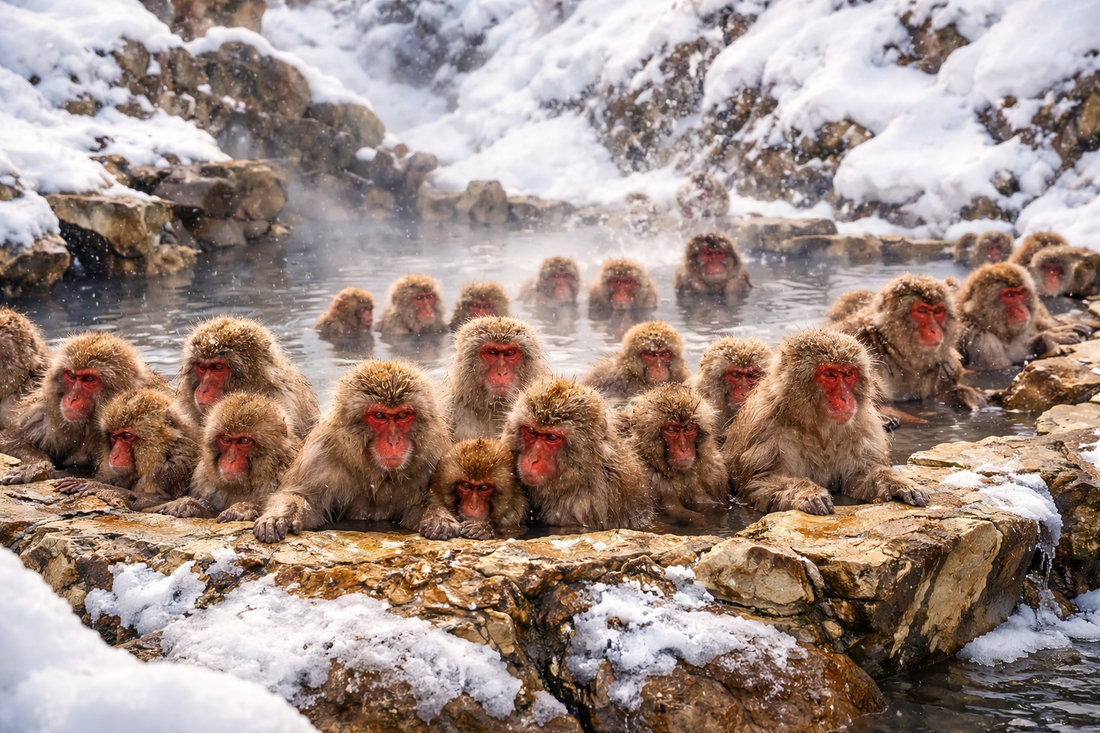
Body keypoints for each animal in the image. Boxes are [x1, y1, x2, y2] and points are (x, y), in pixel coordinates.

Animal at [0, 332, 169, 485]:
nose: (71, 398)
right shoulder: (40, 412)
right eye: (72, 376)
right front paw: (36, 466)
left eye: (89, 379)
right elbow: (10, 443)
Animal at [54, 389, 199, 510]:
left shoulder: (172, 468)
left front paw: (98, 487)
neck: (162, 454)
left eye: (127, 436)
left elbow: (163, 500)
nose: (114, 456)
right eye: (113, 436)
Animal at [155, 393, 300, 522]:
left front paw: (241, 509)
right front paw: (187, 504)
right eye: (226, 439)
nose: (230, 460)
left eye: (244, 440)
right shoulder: (201, 479)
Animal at [253, 360, 450, 543]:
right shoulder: (319, 455)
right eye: (379, 415)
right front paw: (280, 516)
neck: (379, 473)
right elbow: (302, 499)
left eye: (402, 415)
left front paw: (437, 517)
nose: (394, 441)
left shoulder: (434, 458)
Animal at [723, 330, 930, 515]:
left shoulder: (864, 425)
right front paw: (808, 492)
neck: (814, 427)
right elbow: (759, 484)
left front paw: (898, 483)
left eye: (848, 373)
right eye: (829, 374)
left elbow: (860, 477)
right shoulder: (763, 426)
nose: (846, 398)